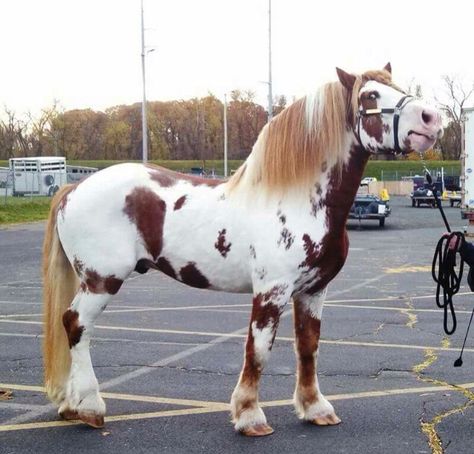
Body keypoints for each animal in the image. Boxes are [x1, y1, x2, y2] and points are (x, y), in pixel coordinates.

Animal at [42, 63, 442, 436]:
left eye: (398, 87)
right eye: (371, 96)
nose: (432, 118)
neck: (298, 200)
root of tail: (74, 189)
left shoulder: (314, 291)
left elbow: (308, 348)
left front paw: (315, 408)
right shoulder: (271, 292)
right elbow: (259, 350)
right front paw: (250, 416)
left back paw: (70, 405)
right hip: (101, 280)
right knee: (77, 325)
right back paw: (91, 408)